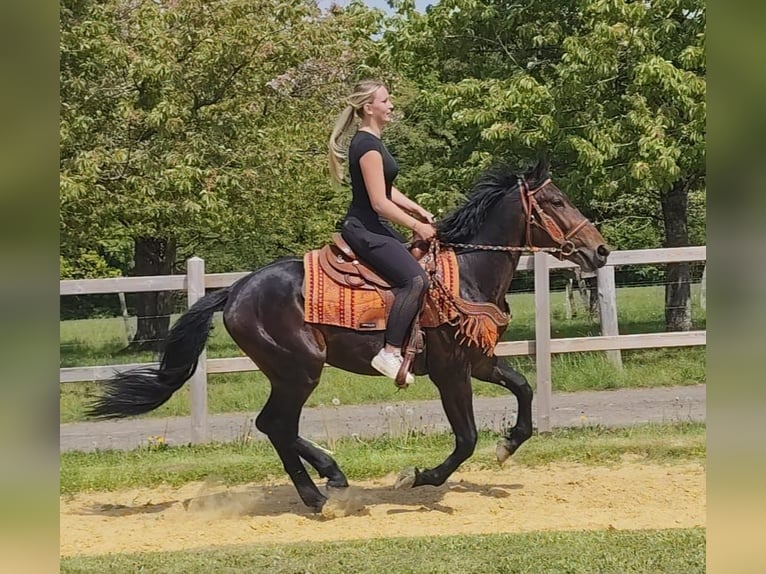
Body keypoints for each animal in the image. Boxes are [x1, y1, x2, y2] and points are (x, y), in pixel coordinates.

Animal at [88, 159, 610, 512]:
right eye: (556, 201)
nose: (601, 250)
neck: (466, 274)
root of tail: (235, 289)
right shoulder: (449, 372)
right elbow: (465, 438)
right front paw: (417, 476)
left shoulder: (478, 361)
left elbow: (523, 390)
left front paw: (508, 445)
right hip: (299, 370)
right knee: (275, 425)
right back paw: (322, 491)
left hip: (291, 373)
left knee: (275, 427)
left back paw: (327, 481)